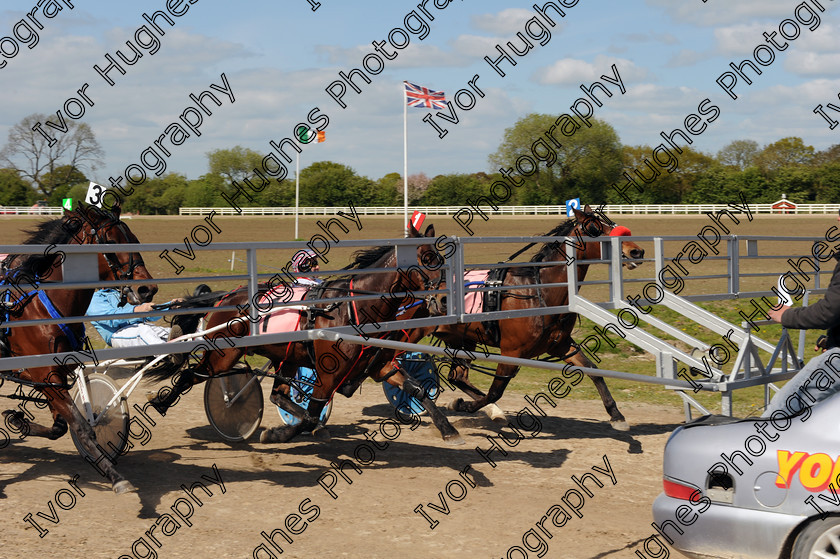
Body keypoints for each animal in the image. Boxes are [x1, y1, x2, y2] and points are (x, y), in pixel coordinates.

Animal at [1, 203, 158, 492]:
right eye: (111, 242)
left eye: (134, 240)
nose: (147, 289)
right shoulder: (45, 373)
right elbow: (81, 425)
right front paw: (115, 476)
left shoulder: (54, 375)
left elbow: (60, 426)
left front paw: (18, 420)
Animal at [148, 223, 462, 446]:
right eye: (426, 257)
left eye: (441, 256)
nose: (444, 300)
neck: (354, 308)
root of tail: (225, 297)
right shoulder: (328, 374)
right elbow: (311, 415)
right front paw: (278, 433)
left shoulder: (380, 365)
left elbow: (418, 389)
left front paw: (448, 429)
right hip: (223, 355)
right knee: (192, 375)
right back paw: (161, 403)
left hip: (285, 357)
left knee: (278, 395)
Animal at [414, 208, 644, 430]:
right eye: (594, 228)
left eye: (610, 223)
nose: (635, 251)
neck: (539, 291)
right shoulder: (511, 351)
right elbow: (495, 391)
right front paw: (465, 405)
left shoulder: (560, 345)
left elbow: (593, 370)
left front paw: (616, 415)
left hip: (462, 340)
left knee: (458, 377)